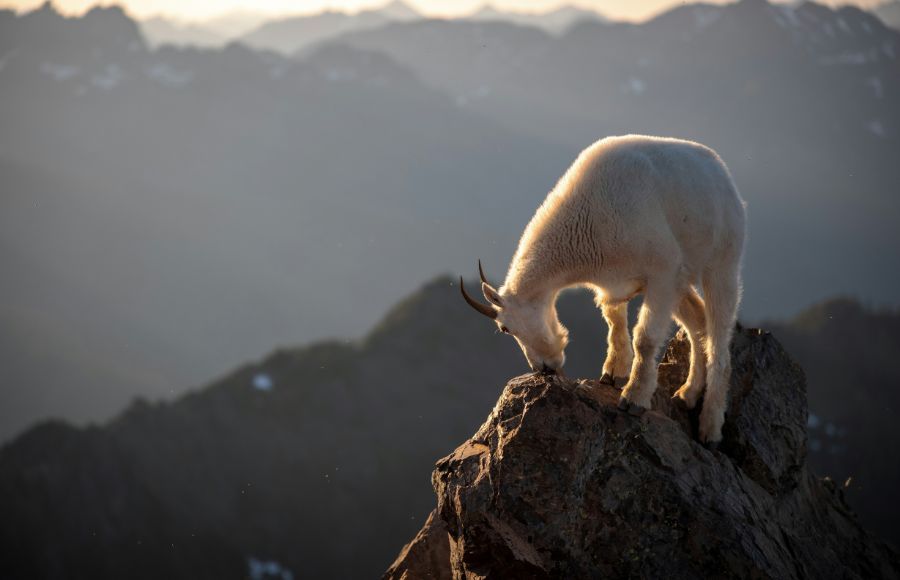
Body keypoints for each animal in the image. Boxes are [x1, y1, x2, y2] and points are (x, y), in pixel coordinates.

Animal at [460, 135, 746, 445]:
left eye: (505, 328)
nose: (543, 369)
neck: (589, 218)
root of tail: (723, 175)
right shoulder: (615, 285)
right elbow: (614, 320)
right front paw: (613, 373)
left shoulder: (663, 272)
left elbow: (645, 339)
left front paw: (634, 398)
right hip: (683, 281)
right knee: (698, 324)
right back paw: (688, 393)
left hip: (721, 263)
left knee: (718, 337)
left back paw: (711, 426)